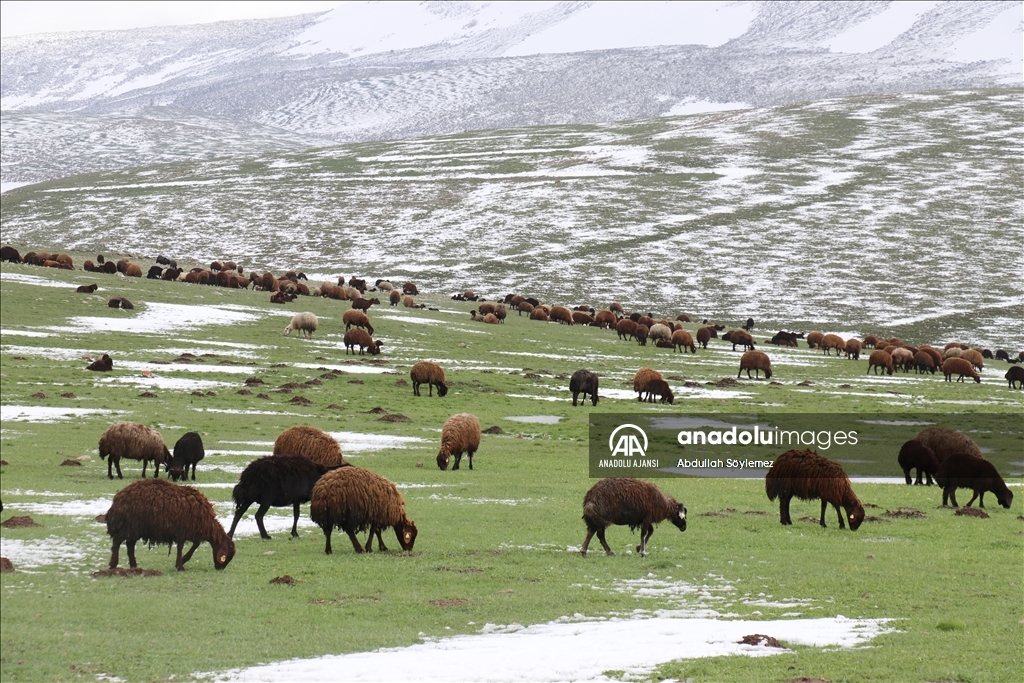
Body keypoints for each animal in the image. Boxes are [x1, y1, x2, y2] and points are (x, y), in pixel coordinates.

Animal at [105, 479, 234, 573]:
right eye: (227, 556)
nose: (219, 569)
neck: (208, 523)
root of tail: (118, 499)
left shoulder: (192, 531)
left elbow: (195, 545)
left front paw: (182, 561)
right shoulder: (182, 530)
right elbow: (181, 547)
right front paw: (180, 566)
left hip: (134, 529)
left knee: (129, 545)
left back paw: (134, 566)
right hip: (128, 526)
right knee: (117, 542)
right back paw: (113, 565)